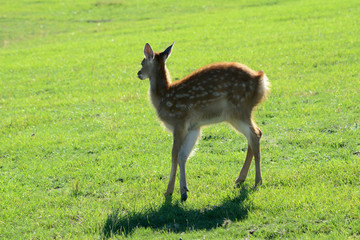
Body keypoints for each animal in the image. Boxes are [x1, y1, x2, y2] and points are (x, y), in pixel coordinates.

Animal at [138, 42, 270, 201]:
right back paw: (240, 179)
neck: (163, 97)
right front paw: (183, 191)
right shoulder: (193, 127)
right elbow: (183, 156)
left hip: (238, 110)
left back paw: (258, 182)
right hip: (240, 113)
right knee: (254, 135)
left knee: (255, 134)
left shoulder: (179, 122)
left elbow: (174, 155)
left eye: (142, 62)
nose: (139, 73)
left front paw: (169, 191)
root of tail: (260, 79)